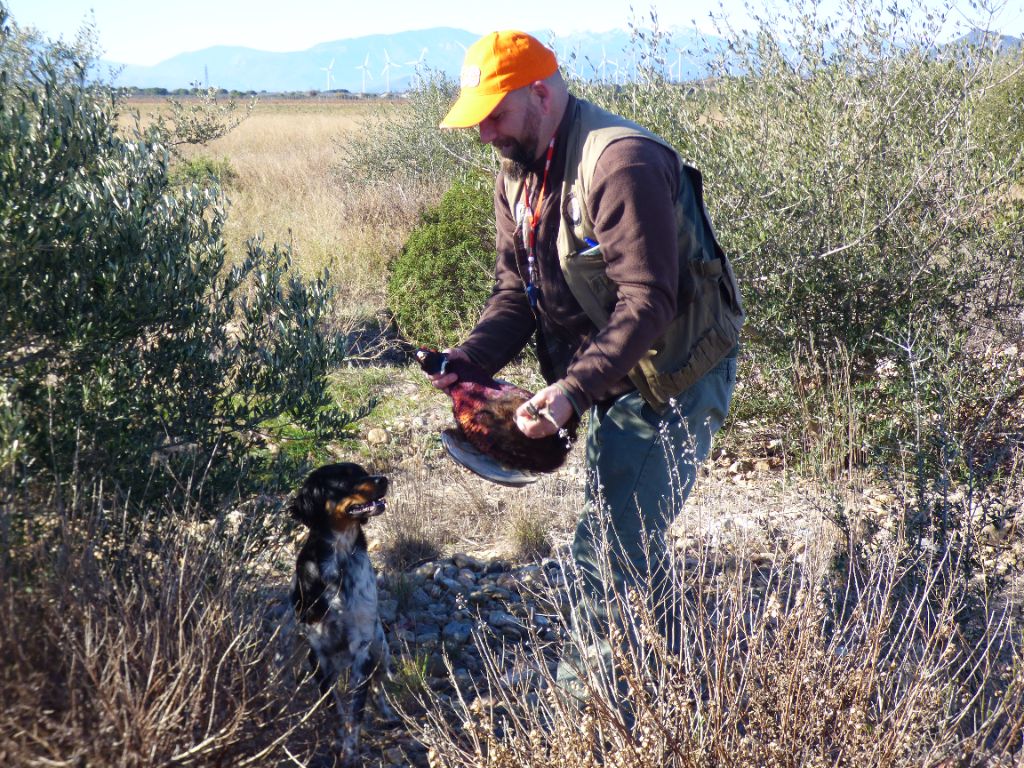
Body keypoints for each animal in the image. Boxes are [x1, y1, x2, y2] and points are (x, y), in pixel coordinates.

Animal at [292, 462, 395, 765]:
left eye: (363, 472)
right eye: (343, 479)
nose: (384, 480)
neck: (339, 559)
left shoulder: (363, 649)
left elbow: (356, 711)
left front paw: (350, 750)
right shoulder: (318, 656)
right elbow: (334, 709)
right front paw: (339, 745)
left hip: (381, 650)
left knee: (378, 685)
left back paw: (387, 715)